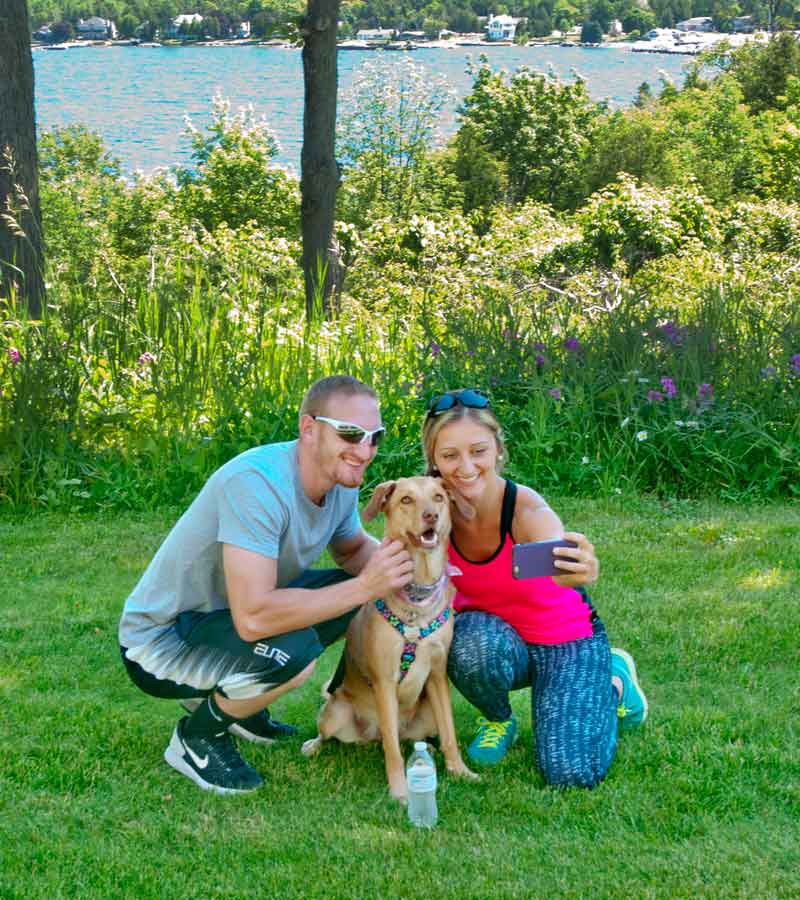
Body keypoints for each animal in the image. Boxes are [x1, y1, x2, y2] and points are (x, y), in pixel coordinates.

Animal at [300, 478, 476, 800]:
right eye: (406, 500)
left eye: (439, 497)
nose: (431, 515)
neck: (417, 593)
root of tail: (372, 734)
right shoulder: (384, 680)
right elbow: (392, 751)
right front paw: (400, 791)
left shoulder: (437, 673)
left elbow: (449, 732)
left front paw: (460, 771)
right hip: (336, 711)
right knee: (341, 734)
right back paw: (313, 745)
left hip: (426, 712)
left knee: (414, 736)